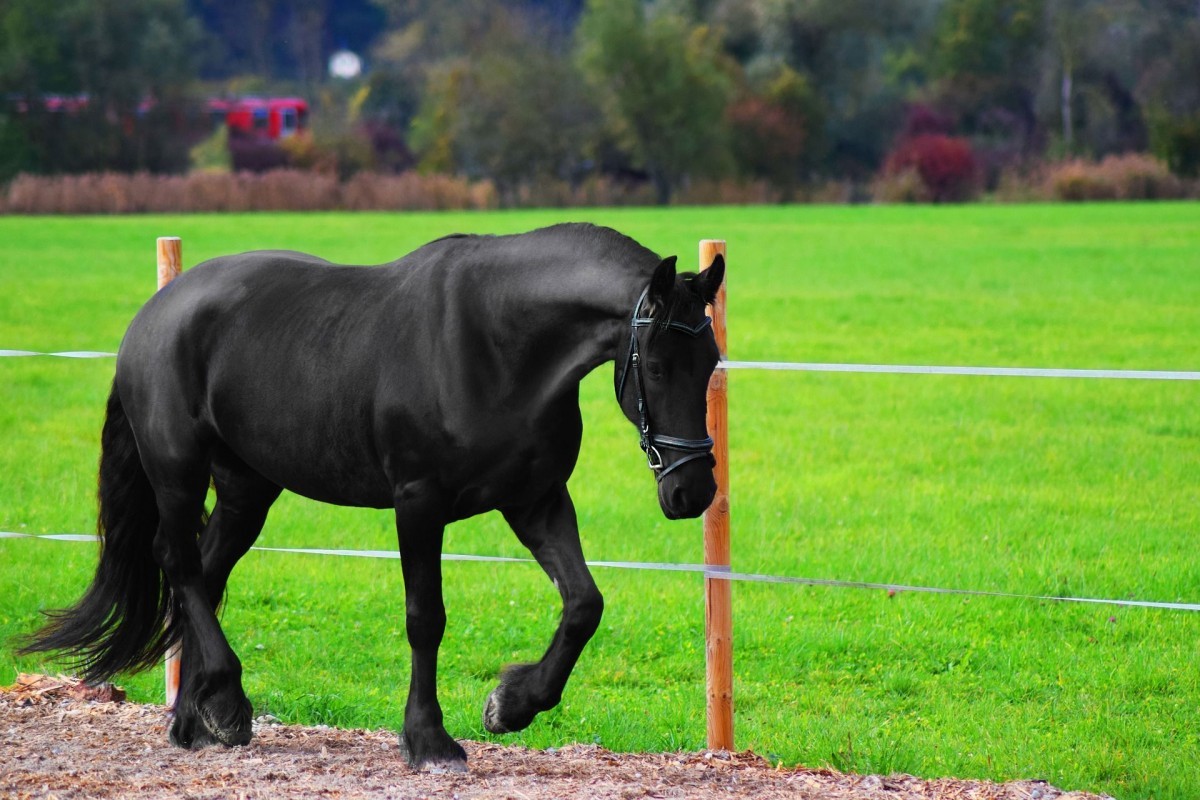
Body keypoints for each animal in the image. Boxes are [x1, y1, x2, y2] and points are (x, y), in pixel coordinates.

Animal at [21, 222, 725, 771]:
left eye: (712, 361)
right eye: (656, 366)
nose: (692, 491)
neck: (498, 342)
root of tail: (157, 311)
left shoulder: (536, 500)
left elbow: (584, 603)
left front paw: (512, 705)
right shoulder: (419, 504)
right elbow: (426, 618)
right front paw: (429, 740)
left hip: (248, 489)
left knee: (207, 572)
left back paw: (199, 719)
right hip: (178, 472)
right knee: (179, 562)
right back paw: (227, 701)